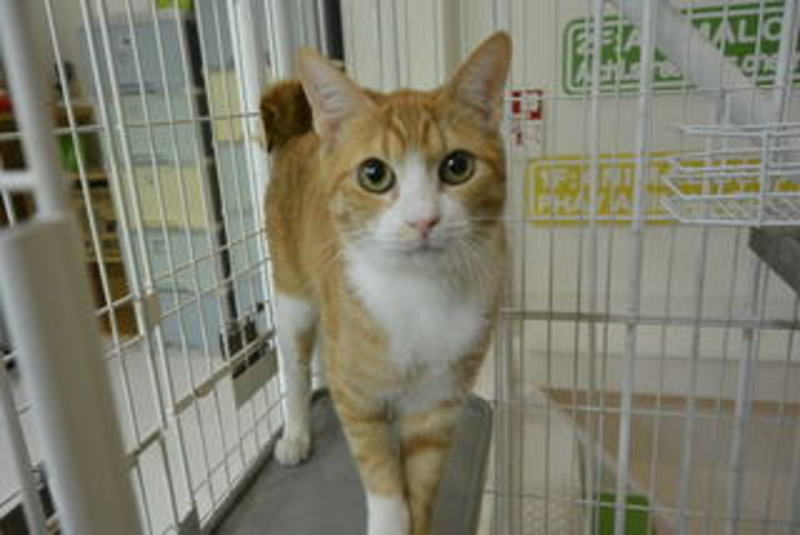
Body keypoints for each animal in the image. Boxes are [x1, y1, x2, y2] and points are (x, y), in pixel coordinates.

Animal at [262, 32, 511, 535]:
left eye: (458, 166)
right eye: (374, 174)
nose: (423, 220)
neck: (420, 292)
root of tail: (302, 132)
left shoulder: (439, 405)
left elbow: (422, 486)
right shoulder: (356, 395)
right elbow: (384, 482)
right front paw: (390, 520)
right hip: (293, 297)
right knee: (296, 370)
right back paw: (296, 434)